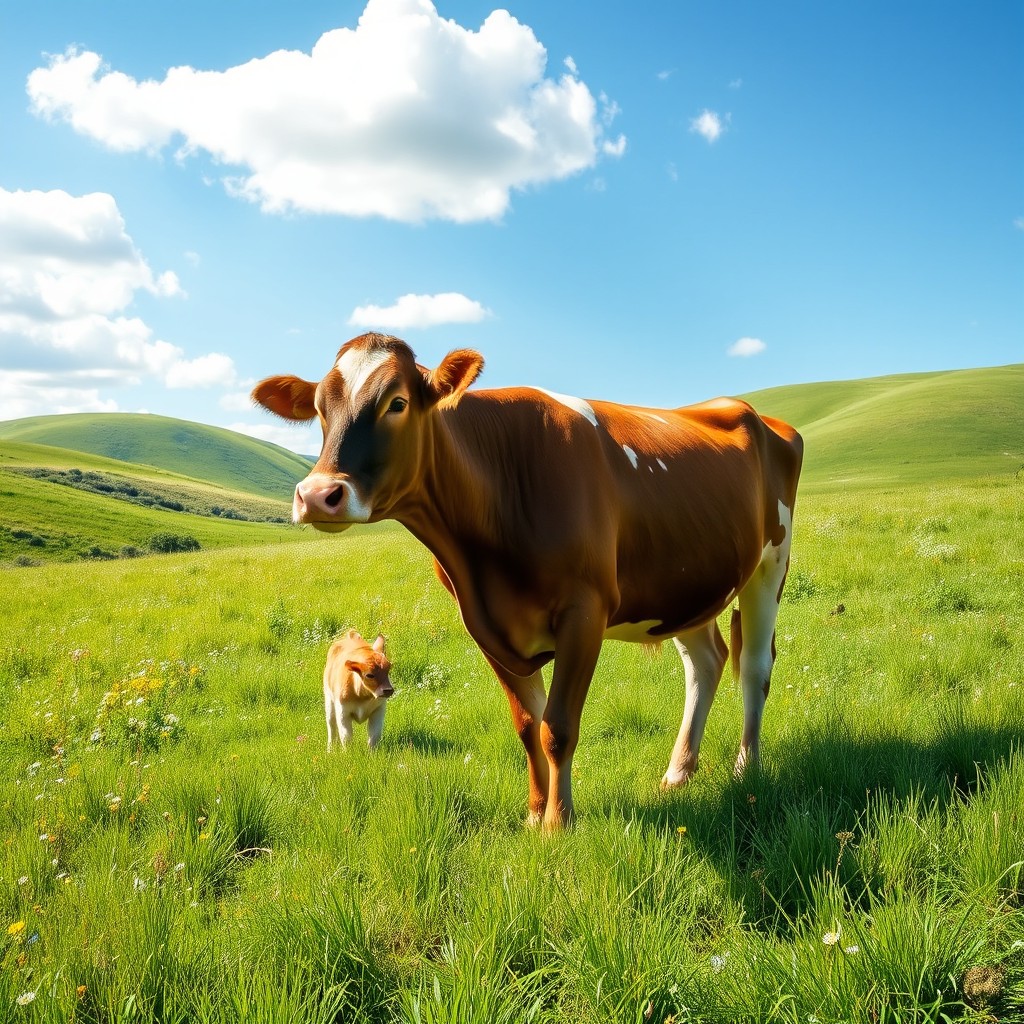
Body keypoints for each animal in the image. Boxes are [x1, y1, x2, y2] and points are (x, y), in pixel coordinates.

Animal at [253, 332, 803, 829]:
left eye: (398, 403)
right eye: (320, 410)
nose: (318, 495)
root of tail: (744, 408)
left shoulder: (585, 612)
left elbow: (557, 727)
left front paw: (560, 822)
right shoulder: (487, 628)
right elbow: (527, 725)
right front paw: (536, 814)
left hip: (770, 565)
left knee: (755, 666)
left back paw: (746, 768)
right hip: (685, 584)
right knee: (707, 661)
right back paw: (678, 773)